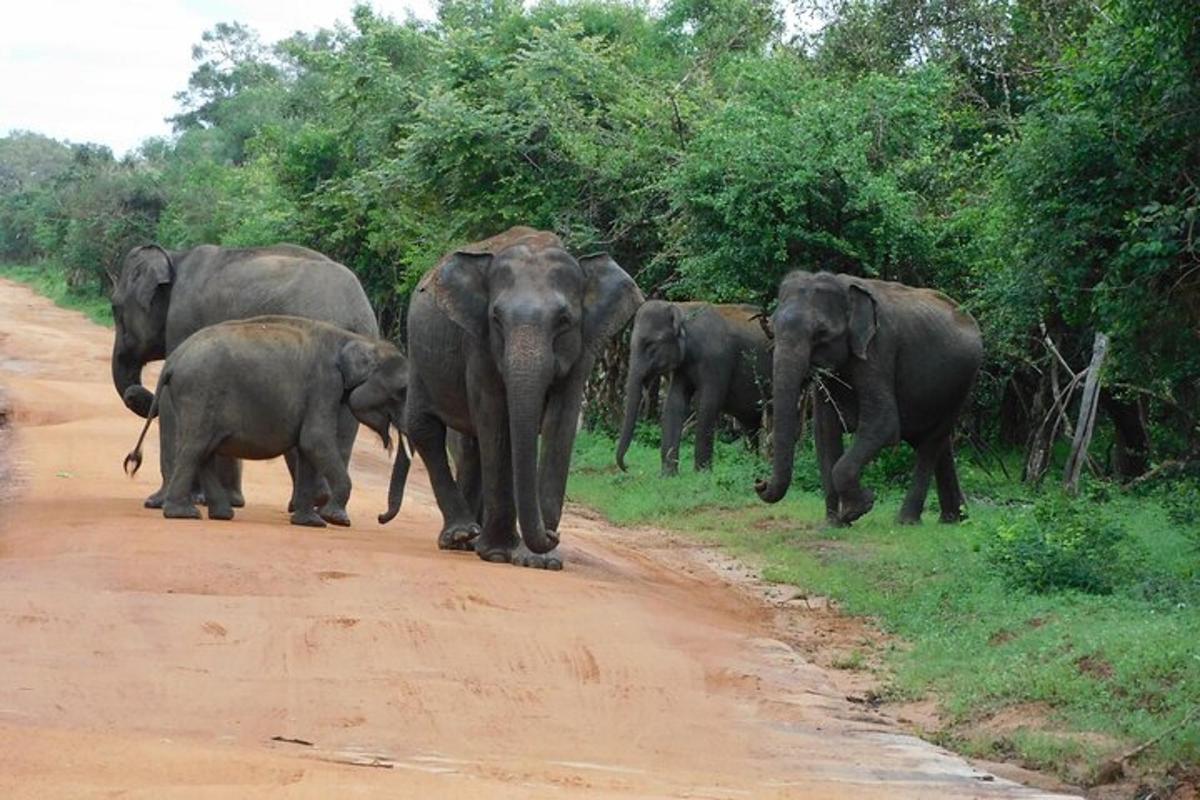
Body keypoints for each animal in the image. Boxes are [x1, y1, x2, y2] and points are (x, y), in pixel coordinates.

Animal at [111, 241, 379, 510]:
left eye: (114, 307)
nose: (134, 392)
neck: (176, 257)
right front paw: (217, 500)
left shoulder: (183, 320)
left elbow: (170, 400)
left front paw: (157, 501)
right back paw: (321, 505)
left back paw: (313, 501)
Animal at [123, 316, 410, 527]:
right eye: (401, 392)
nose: (380, 518)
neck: (356, 340)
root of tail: (172, 360)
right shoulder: (323, 383)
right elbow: (315, 440)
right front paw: (335, 520)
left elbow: (308, 448)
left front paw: (311, 523)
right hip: (199, 391)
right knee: (195, 449)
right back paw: (184, 515)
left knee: (204, 450)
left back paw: (221, 514)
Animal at [405, 227, 648, 573]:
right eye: (496, 318)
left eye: (564, 320)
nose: (552, 534)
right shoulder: (478, 345)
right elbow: (495, 417)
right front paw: (498, 554)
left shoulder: (582, 351)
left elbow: (560, 423)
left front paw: (540, 561)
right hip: (419, 358)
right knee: (425, 428)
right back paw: (462, 537)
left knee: (471, 445)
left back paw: (472, 539)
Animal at [614, 299, 772, 474]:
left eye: (651, 344)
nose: (627, 467)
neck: (681, 308)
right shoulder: (681, 367)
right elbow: (675, 402)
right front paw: (668, 475)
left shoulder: (717, 360)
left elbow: (707, 404)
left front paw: (702, 473)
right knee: (751, 424)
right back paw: (753, 464)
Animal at [753, 272, 979, 527]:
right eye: (772, 329)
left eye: (821, 333)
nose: (759, 482)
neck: (843, 286)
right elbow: (825, 432)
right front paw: (835, 523)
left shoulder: (878, 349)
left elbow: (883, 424)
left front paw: (860, 507)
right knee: (939, 443)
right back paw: (955, 519)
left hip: (962, 384)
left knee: (930, 444)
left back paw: (907, 521)